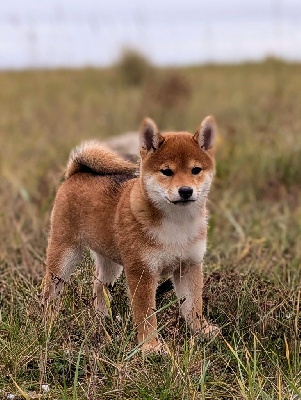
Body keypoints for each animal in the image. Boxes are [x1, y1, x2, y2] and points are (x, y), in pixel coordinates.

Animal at [42, 115, 218, 354]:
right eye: (167, 171)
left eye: (196, 170)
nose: (185, 191)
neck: (177, 224)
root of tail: (76, 173)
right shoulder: (142, 271)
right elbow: (145, 314)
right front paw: (151, 346)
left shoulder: (189, 266)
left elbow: (193, 305)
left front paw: (202, 331)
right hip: (64, 256)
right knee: (50, 291)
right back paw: (48, 324)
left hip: (110, 260)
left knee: (98, 285)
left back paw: (102, 319)